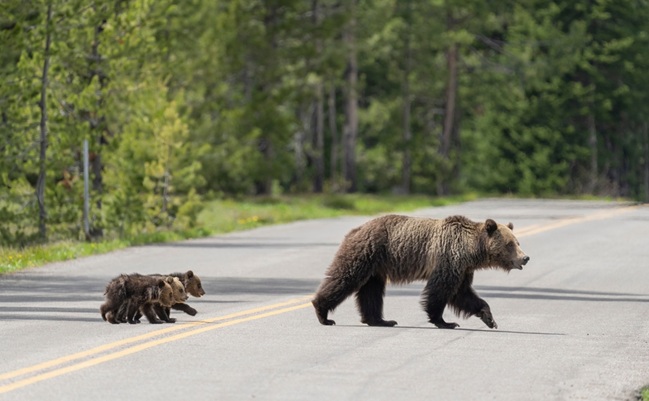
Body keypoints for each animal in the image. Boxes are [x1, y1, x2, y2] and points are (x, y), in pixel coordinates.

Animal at [312, 214, 530, 329]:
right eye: (511, 244)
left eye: (517, 242)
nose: (525, 258)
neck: (472, 251)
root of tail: (356, 229)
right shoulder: (448, 259)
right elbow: (440, 291)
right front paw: (444, 321)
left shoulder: (463, 269)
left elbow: (464, 294)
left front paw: (489, 318)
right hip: (366, 252)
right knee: (345, 277)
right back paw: (324, 314)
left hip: (375, 267)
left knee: (371, 291)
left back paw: (381, 320)